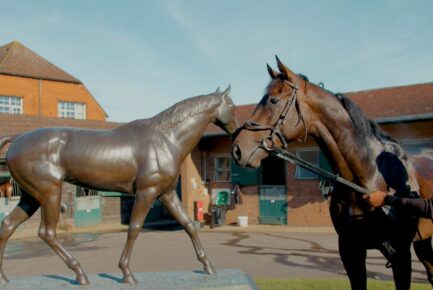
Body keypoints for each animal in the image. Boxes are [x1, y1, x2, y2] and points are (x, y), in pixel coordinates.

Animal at [0, 86, 236, 286]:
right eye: (232, 107)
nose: (235, 133)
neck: (166, 139)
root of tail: (16, 141)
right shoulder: (147, 193)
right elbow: (134, 228)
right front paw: (126, 273)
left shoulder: (167, 194)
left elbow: (188, 224)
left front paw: (208, 266)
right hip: (49, 193)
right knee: (47, 232)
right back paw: (80, 273)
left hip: (31, 197)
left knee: (8, 227)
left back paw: (5, 278)